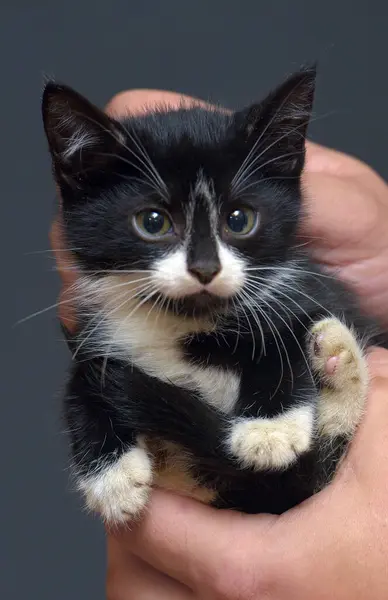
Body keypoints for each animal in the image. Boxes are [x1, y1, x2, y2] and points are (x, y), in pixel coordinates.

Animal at [43, 68, 388, 524]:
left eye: (239, 220)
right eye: (153, 222)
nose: (205, 268)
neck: (183, 324)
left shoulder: (304, 289)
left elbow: (287, 330)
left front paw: (269, 428)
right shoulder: (96, 333)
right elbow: (84, 376)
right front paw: (110, 476)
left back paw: (337, 356)